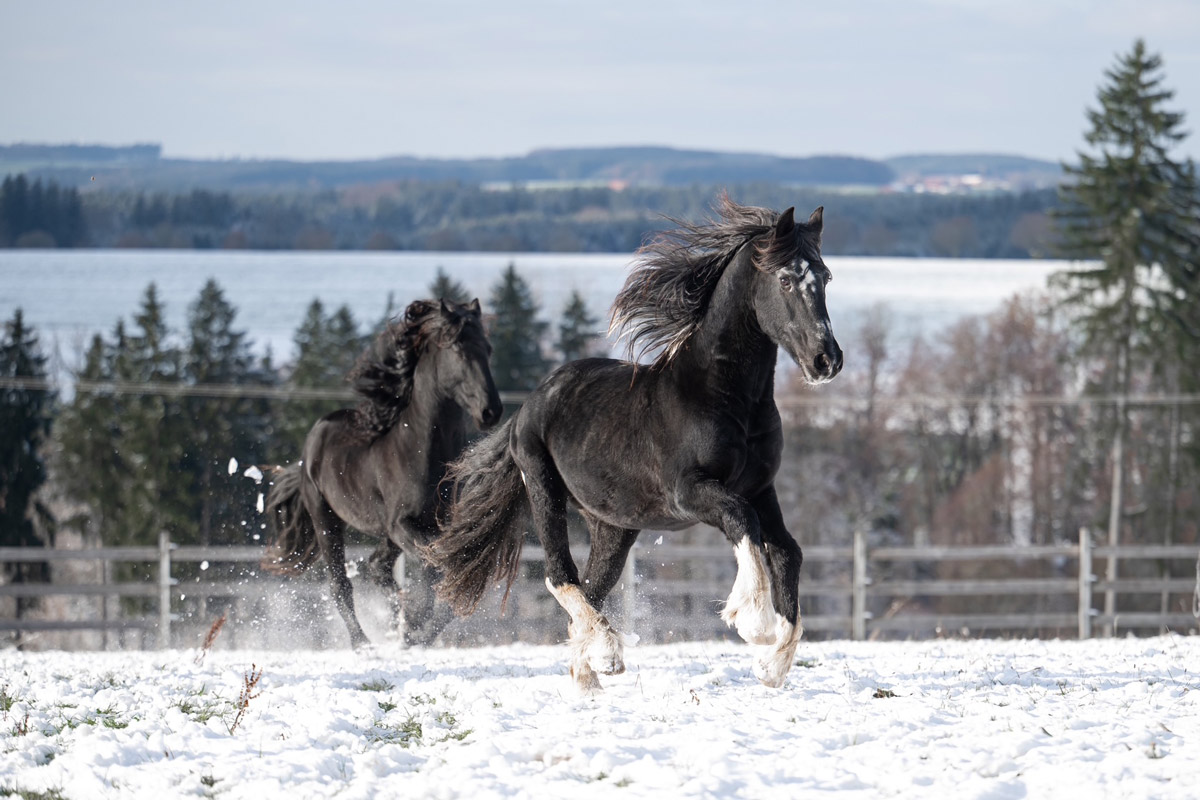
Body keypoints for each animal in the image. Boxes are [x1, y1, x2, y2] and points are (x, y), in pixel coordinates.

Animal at [263, 298, 503, 648]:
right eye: (458, 348)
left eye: (488, 348)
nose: (491, 411)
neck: (421, 451)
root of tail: (311, 444)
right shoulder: (401, 523)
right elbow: (432, 563)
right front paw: (416, 621)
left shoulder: (435, 524)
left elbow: (443, 567)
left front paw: (416, 629)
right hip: (326, 519)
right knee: (340, 584)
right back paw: (363, 643)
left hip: (383, 533)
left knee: (377, 567)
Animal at [425, 197, 842, 690]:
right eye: (785, 278)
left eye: (825, 276)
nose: (826, 360)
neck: (721, 396)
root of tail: (527, 407)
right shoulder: (690, 492)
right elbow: (744, 523)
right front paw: (753, 624)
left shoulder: (761, 489)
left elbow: (786, 551)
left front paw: (772, 665)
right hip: (544, 488)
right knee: (559, 576)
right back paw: (608, 653)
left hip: (614, 525)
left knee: (591, 589)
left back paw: (590, 671)